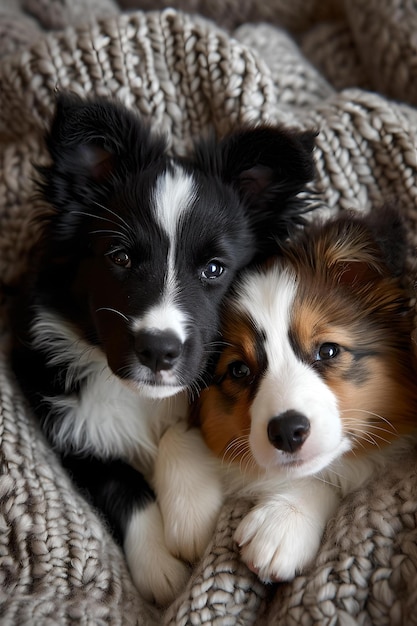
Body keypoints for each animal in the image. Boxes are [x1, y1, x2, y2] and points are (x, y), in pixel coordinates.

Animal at [10, 95, 316, 604]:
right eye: (120, 257)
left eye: (214, 268)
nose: (158, 351)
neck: (136, 398)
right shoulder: (64, 426)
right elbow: (122, 482)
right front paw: (161, 567)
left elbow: (181, 426)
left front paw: (190, 518)